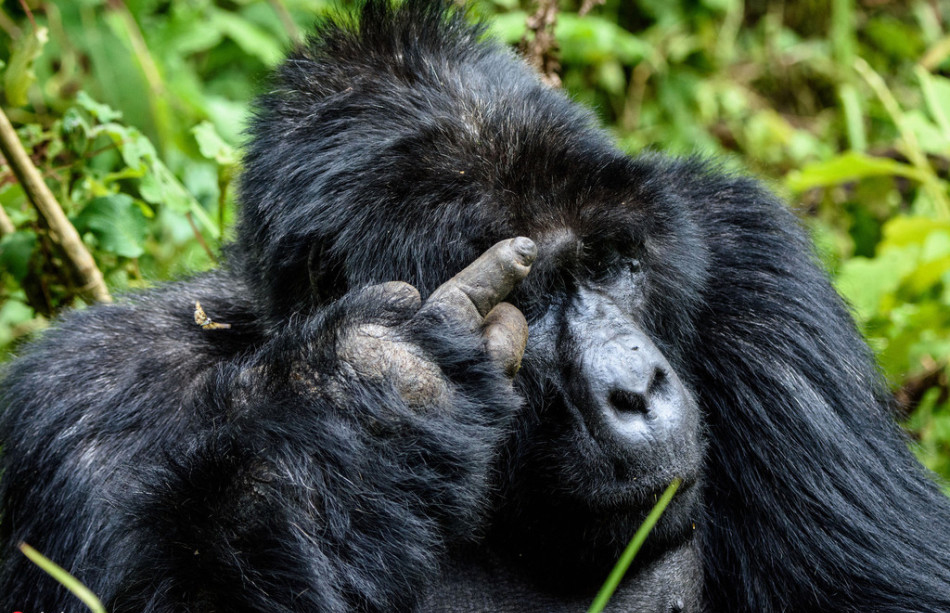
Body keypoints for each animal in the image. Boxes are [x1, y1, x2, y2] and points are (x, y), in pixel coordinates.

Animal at [1, 1, 950, 612]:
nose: (638, 387)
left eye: (615, 264)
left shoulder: (762, 276)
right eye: (532, 293)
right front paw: (375, 398)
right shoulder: (72, 414)